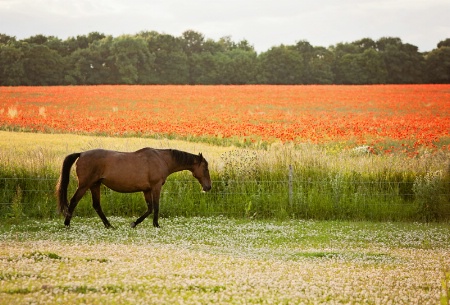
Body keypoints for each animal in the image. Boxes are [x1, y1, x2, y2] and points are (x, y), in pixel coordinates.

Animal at [56, 147, 211, 228]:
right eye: (205, 168)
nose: (208, 187)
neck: (161, 159)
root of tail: (81, 154)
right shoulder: (155, 187)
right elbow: (156, 207)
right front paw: (156, 224)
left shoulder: (146, 190)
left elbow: (149, 208)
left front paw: (134, 223)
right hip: (85, 185)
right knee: (74, 201)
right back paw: (67, 223)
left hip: (95, 185)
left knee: (96, 205)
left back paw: (109, 225)